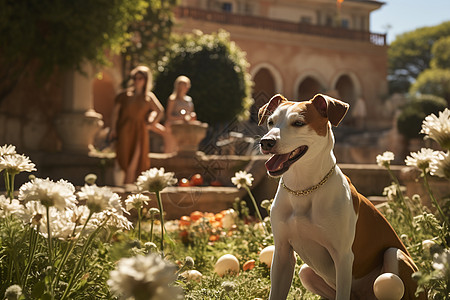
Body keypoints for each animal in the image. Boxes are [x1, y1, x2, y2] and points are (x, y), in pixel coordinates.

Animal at [258, 92, 424, 298]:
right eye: (270, 122)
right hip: (306, 272)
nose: (266, 142)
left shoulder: (343, 256)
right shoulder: (282, 253)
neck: (303, 188)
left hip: (395, 256)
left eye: (298, 123)